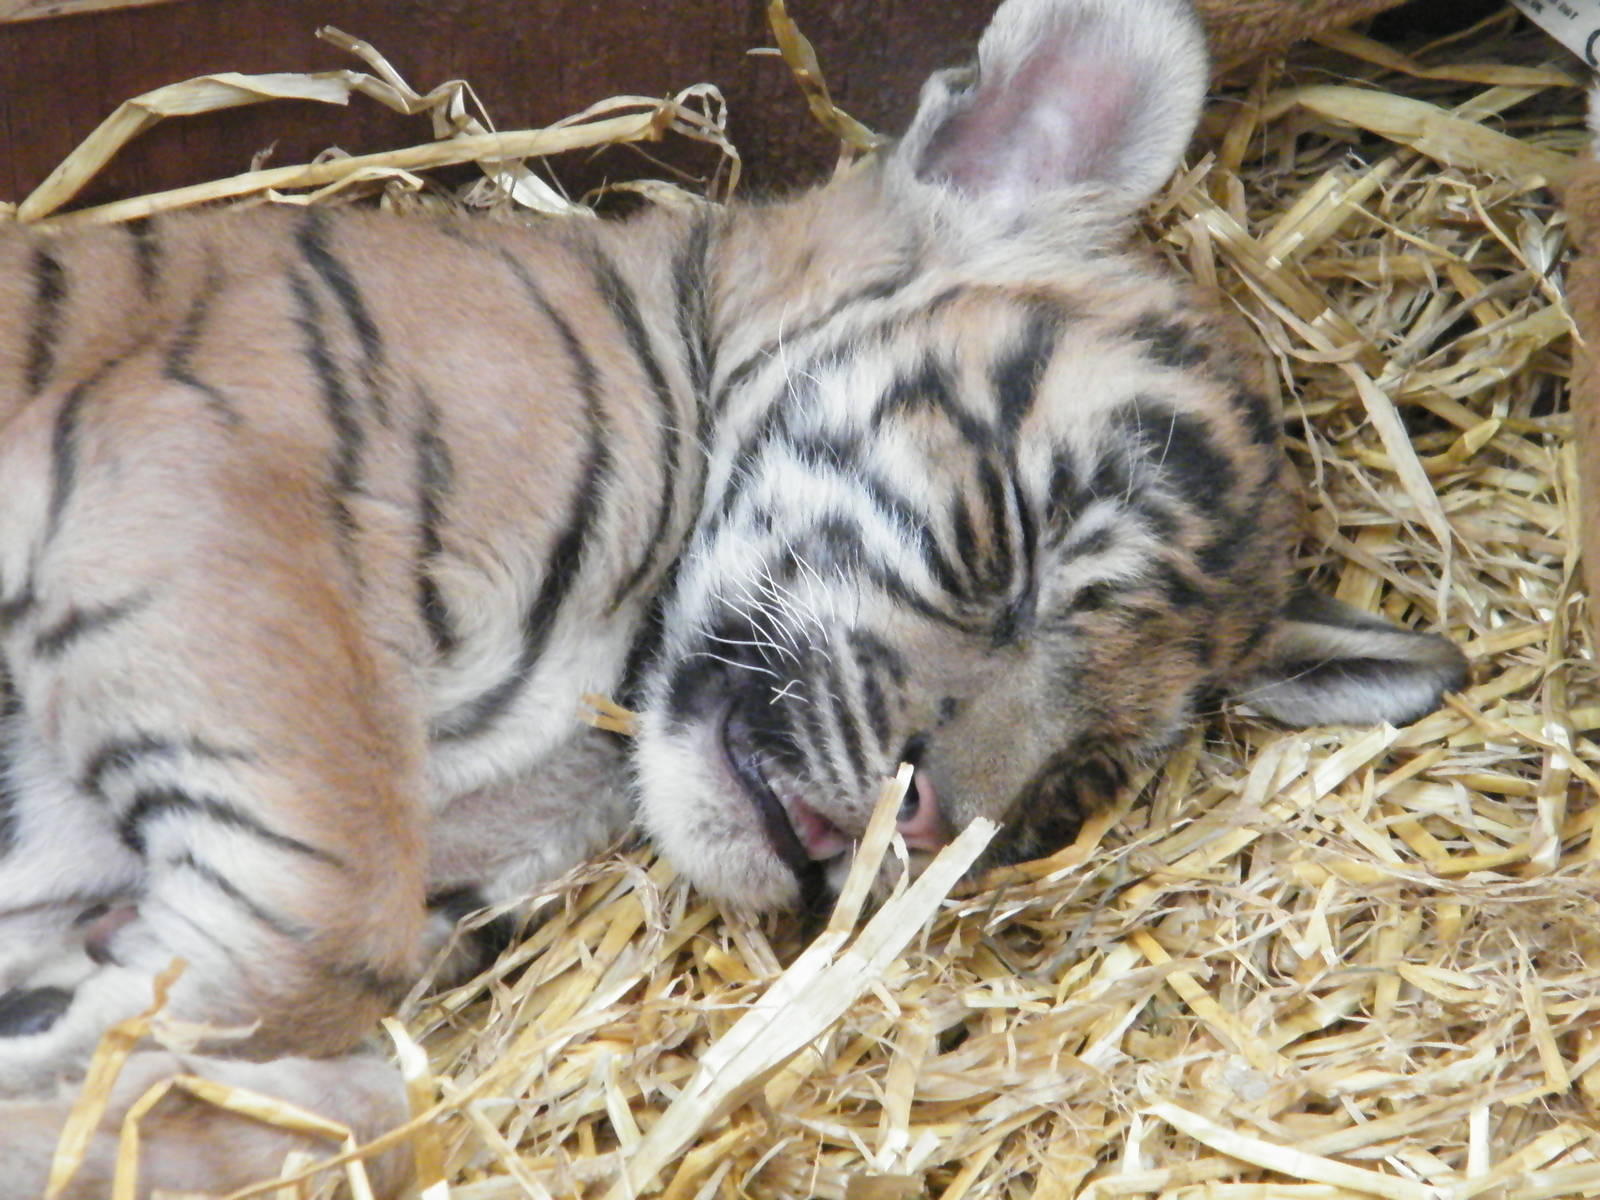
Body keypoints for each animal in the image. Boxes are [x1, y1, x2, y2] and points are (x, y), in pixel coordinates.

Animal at [0, 0, 1469, 1194]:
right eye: (1006, 547)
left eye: (1077, 777)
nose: (925, 824)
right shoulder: (208, 479)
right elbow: (322, 915)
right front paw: (88, 1061)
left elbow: (357, 1075)